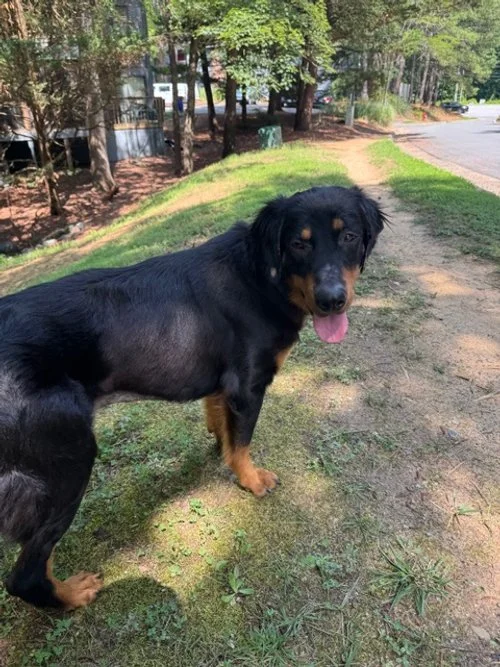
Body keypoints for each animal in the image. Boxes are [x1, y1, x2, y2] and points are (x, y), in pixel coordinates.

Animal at [0, 185, 385, 610]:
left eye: (348, 236)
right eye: (298, 244)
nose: (332, 300)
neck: (261, 276)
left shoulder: (223, 386)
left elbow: (222, 426)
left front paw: (220, 449)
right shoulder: (248, 385)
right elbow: (243, 443)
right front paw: (251, 480)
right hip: (68, 461)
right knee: (24, 574)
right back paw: (72, 594)